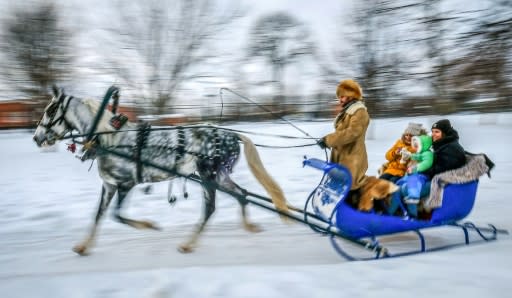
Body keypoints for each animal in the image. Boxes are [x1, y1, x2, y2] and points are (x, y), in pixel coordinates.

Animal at [33, 86, 288, 256]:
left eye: (51, 109)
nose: (36, 137)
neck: (109, 138)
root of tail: (233, 135)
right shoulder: (109, 185)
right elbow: (99, 215)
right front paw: (84, 246)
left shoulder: (125, 184)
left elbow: (117, 215)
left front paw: (149, 225)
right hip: (220, 176)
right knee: (241, 194)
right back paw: (248, 226)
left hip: (208, 176)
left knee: (210, 208)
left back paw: (188, 244)